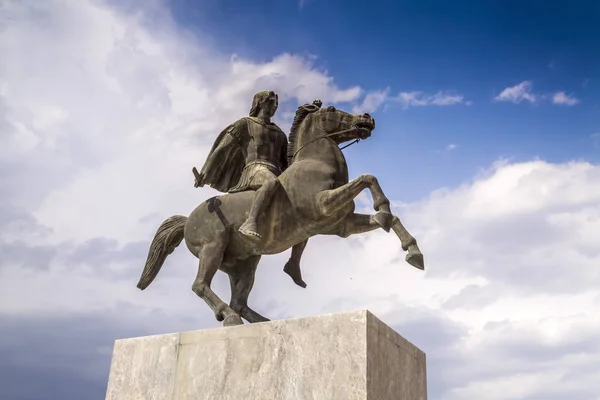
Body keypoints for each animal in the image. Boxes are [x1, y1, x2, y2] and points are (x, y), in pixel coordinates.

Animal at [138, 101, 424, 326]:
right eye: (332, 109)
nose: (367, 118)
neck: (316, 162)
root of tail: (188, 220)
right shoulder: (323, 204)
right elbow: (368, 177)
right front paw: (384, 210)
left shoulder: (339, 225)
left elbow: (387, 216)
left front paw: (413, 252)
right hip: (212, 248)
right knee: (201, 285)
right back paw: (229, 317)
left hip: (244, 264)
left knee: (239, 300)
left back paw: (262, 320)